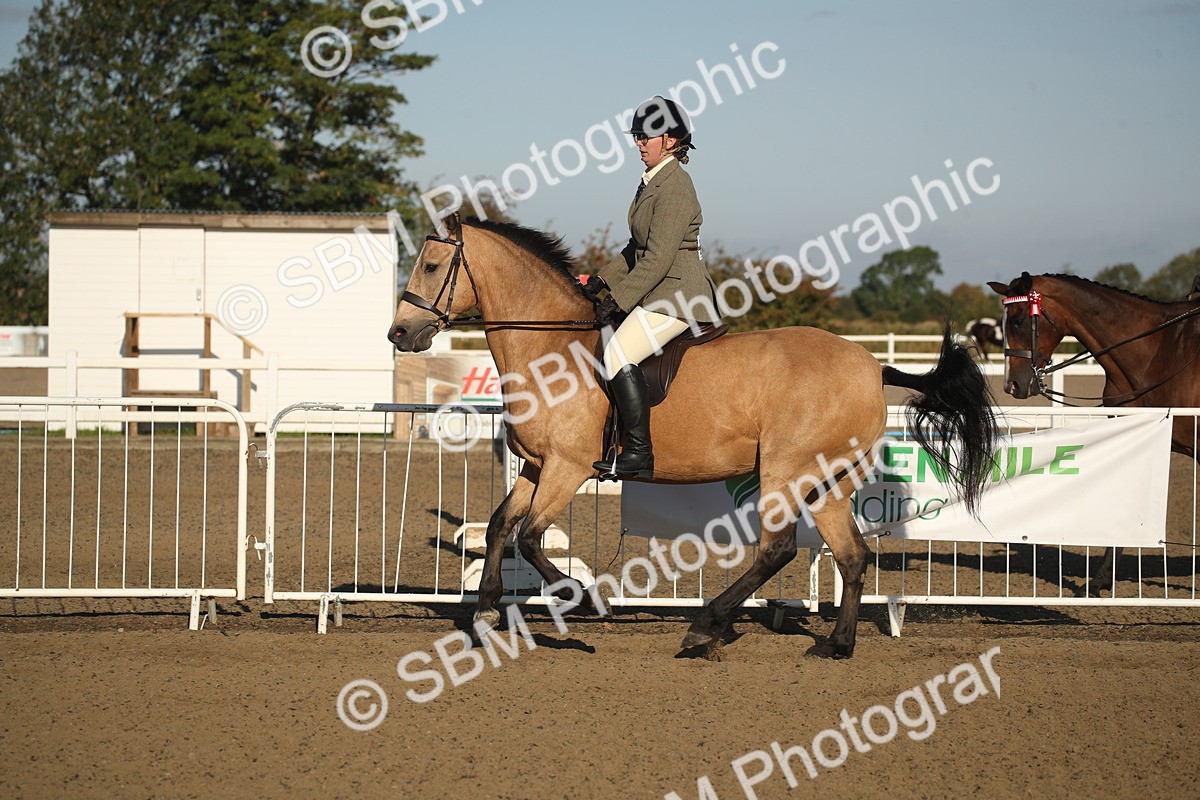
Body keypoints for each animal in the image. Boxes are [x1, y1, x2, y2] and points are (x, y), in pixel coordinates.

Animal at [389, 215, 997, 658]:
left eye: (432, 265)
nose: (399, 333)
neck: (552, 349)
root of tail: (872, 366)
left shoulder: (567, 467)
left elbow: (532, 538)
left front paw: (584, 602)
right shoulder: (539, 466)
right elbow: (499, 528)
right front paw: (486, 612)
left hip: (785, 470)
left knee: (777, 549)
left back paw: (708, 626)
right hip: (826, 479)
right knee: (851, 555)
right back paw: (835, 645)